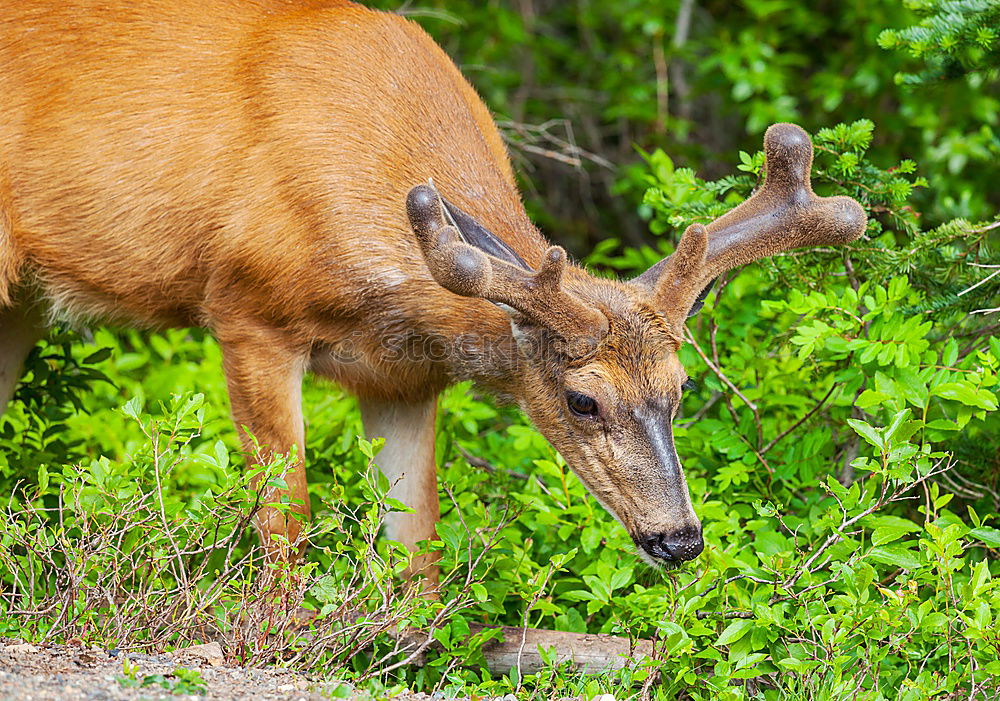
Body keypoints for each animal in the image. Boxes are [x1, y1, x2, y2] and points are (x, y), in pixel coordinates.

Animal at [0, 0, 864, 584]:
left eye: (681, 388)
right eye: (582, 399)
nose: (680, 537)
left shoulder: (404, 377)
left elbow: (416, 556)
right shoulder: (247, 311)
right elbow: (288, 524)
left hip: (22, 304)